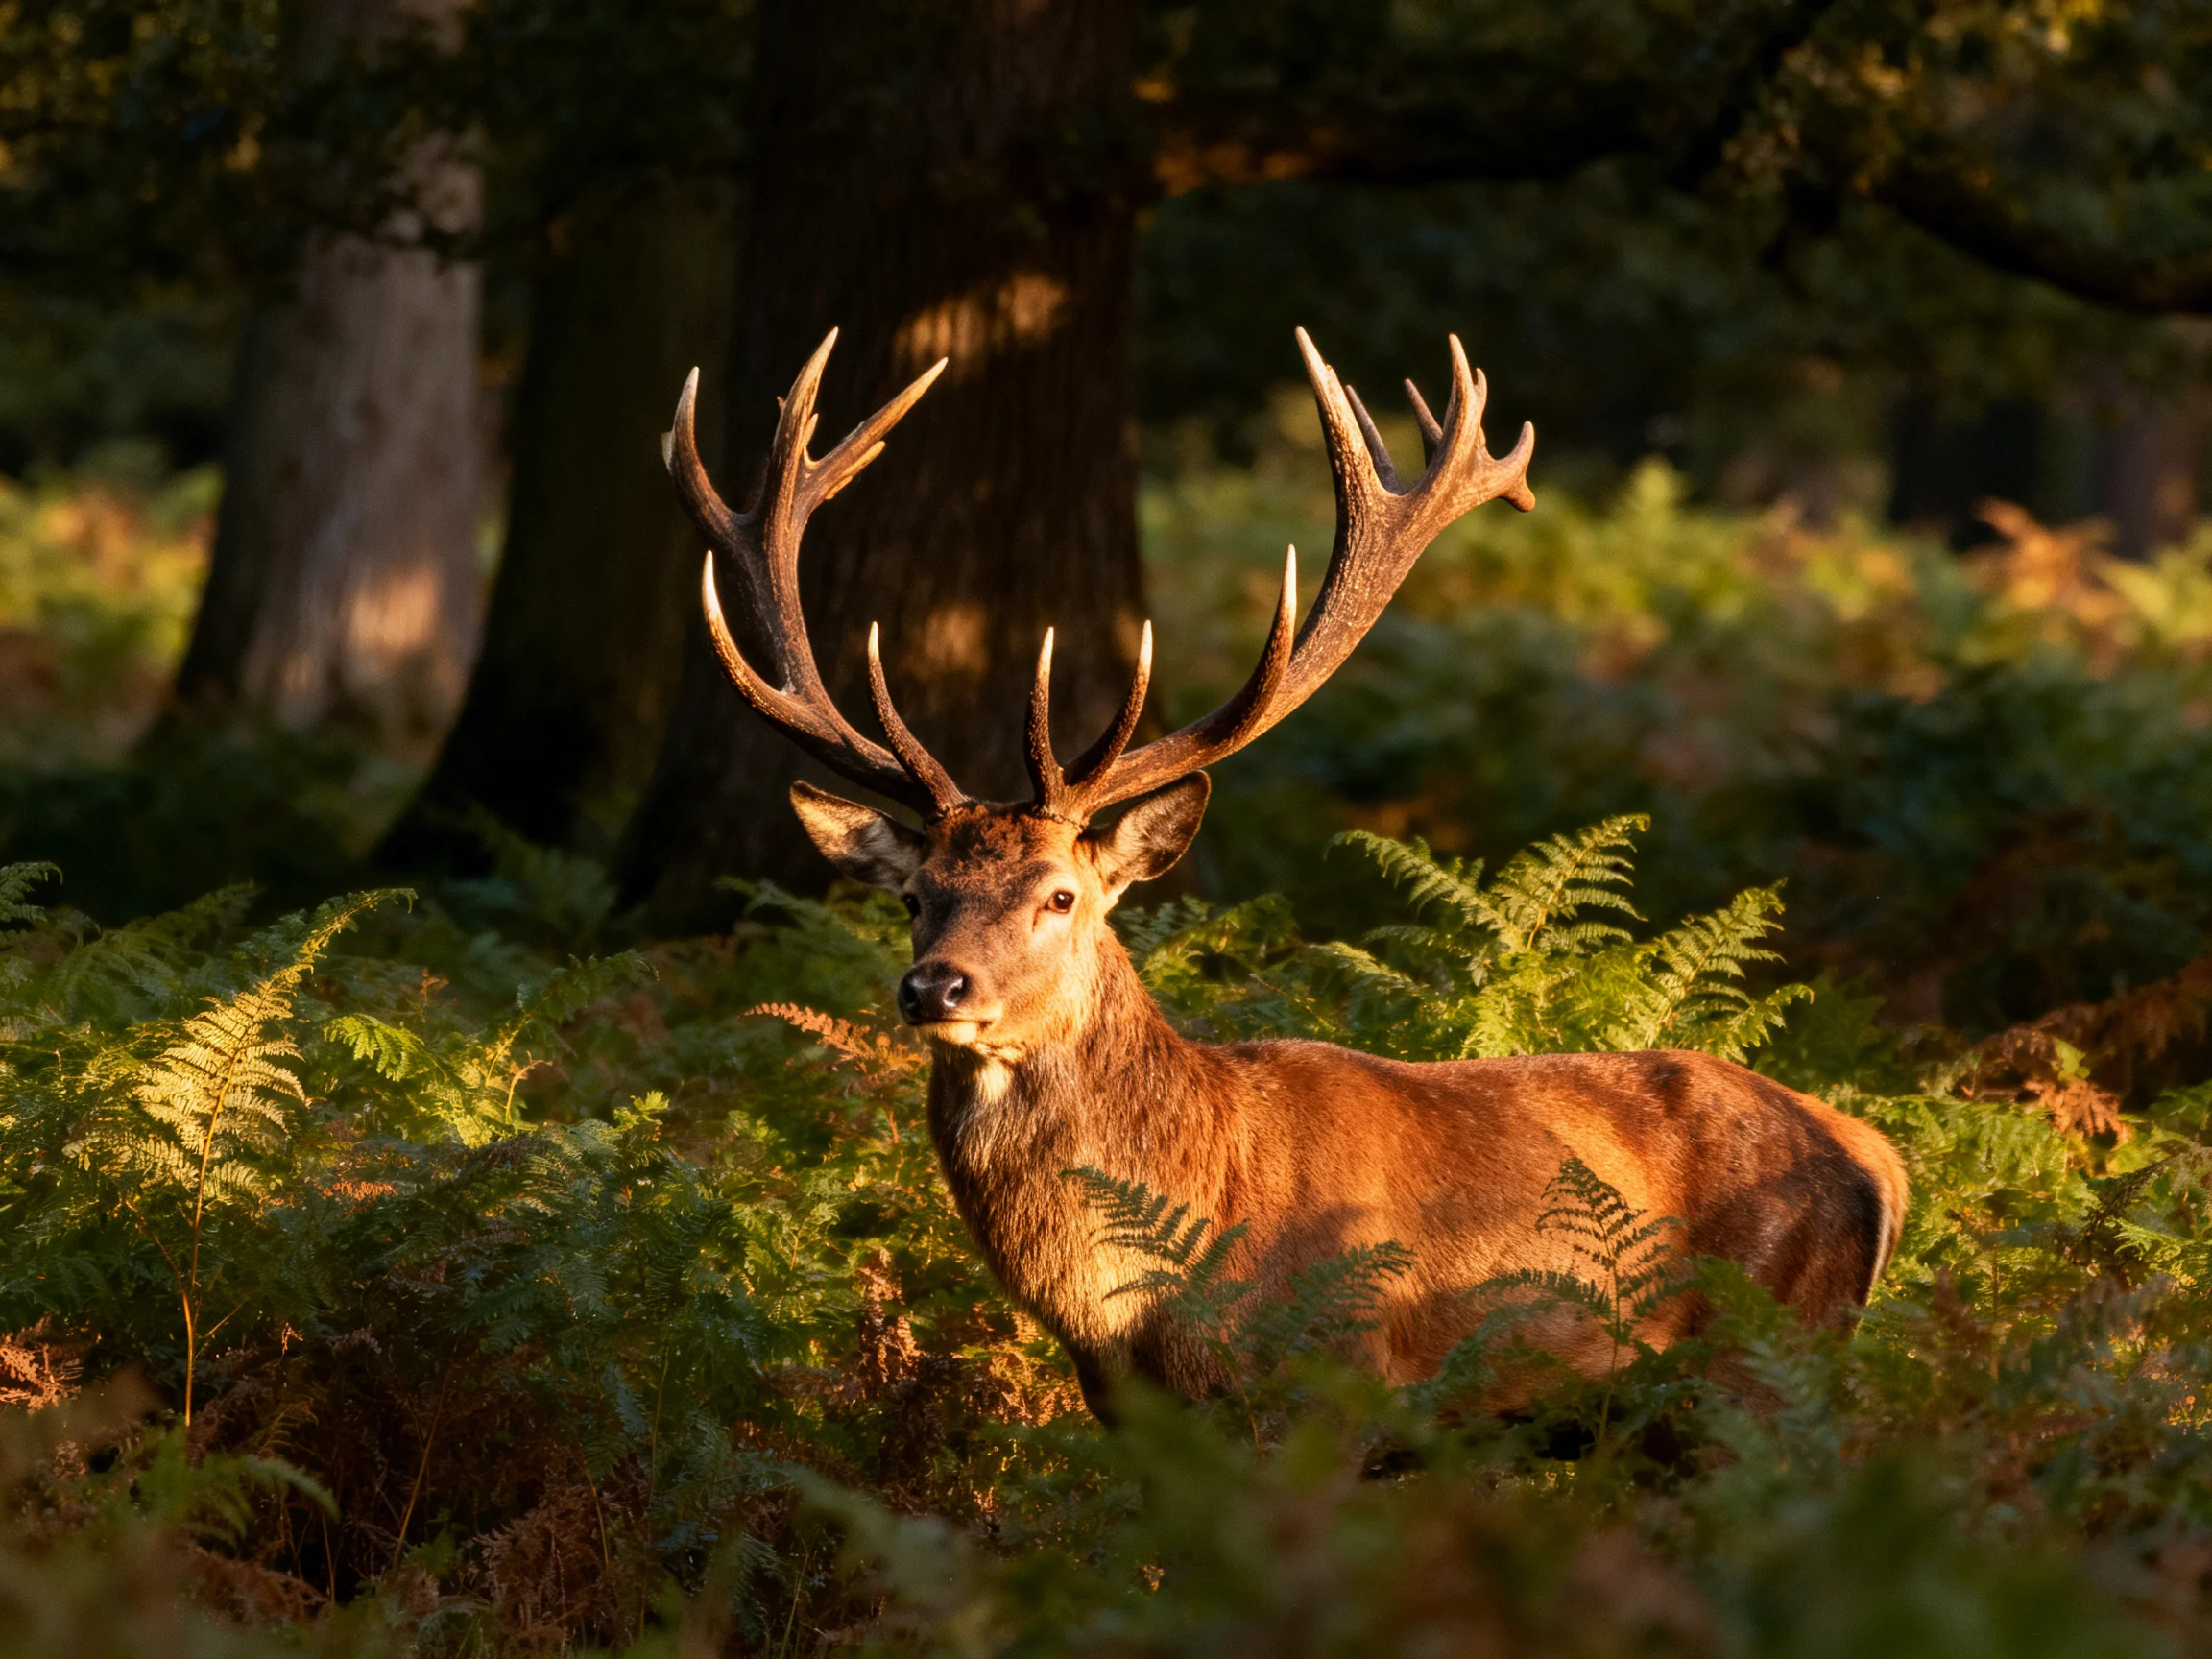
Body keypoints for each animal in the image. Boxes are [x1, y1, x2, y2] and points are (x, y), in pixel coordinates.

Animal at [662, 328, 1908, 1417]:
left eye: (1061, 896)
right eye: (917, 898)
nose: (936, 987)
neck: (1151, 1306)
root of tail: (1881, 1162)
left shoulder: (1337, 1386)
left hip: (1764, 1358)